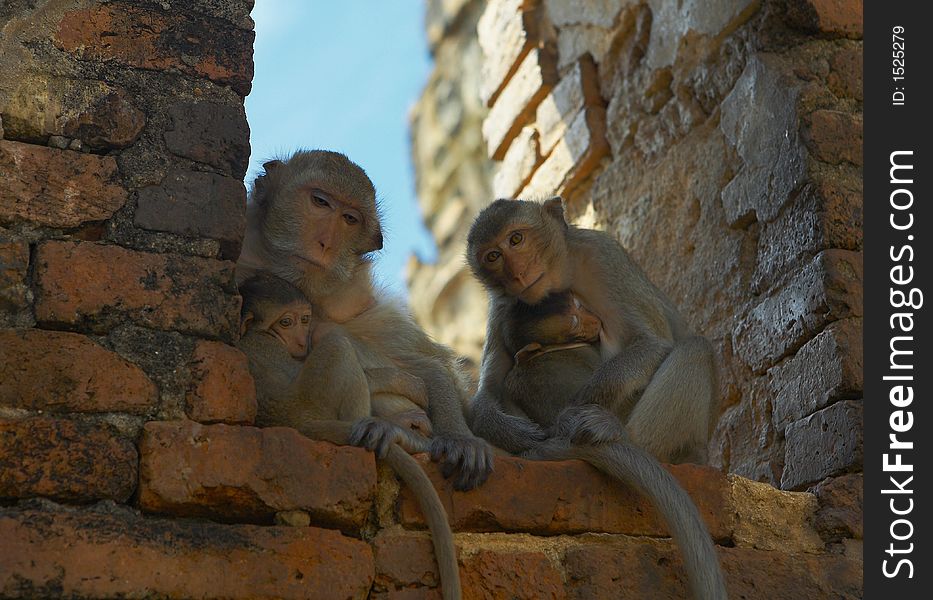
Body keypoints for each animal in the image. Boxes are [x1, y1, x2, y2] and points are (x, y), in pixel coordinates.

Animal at [237, 151, 492, 492]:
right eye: (320, 202)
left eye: (349, 219)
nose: (325, 243)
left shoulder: (359, 302)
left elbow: (427, 362)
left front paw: (459, 438)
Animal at [470, 198, 724, 600]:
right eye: (493, 256)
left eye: (516, 239)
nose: (517, 273)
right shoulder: (504, 304)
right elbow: (489, 393)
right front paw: (518, 434)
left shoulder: (604, 258)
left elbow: (652, 342)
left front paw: (573, 414)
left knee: (695, 350)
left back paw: (618, 434)